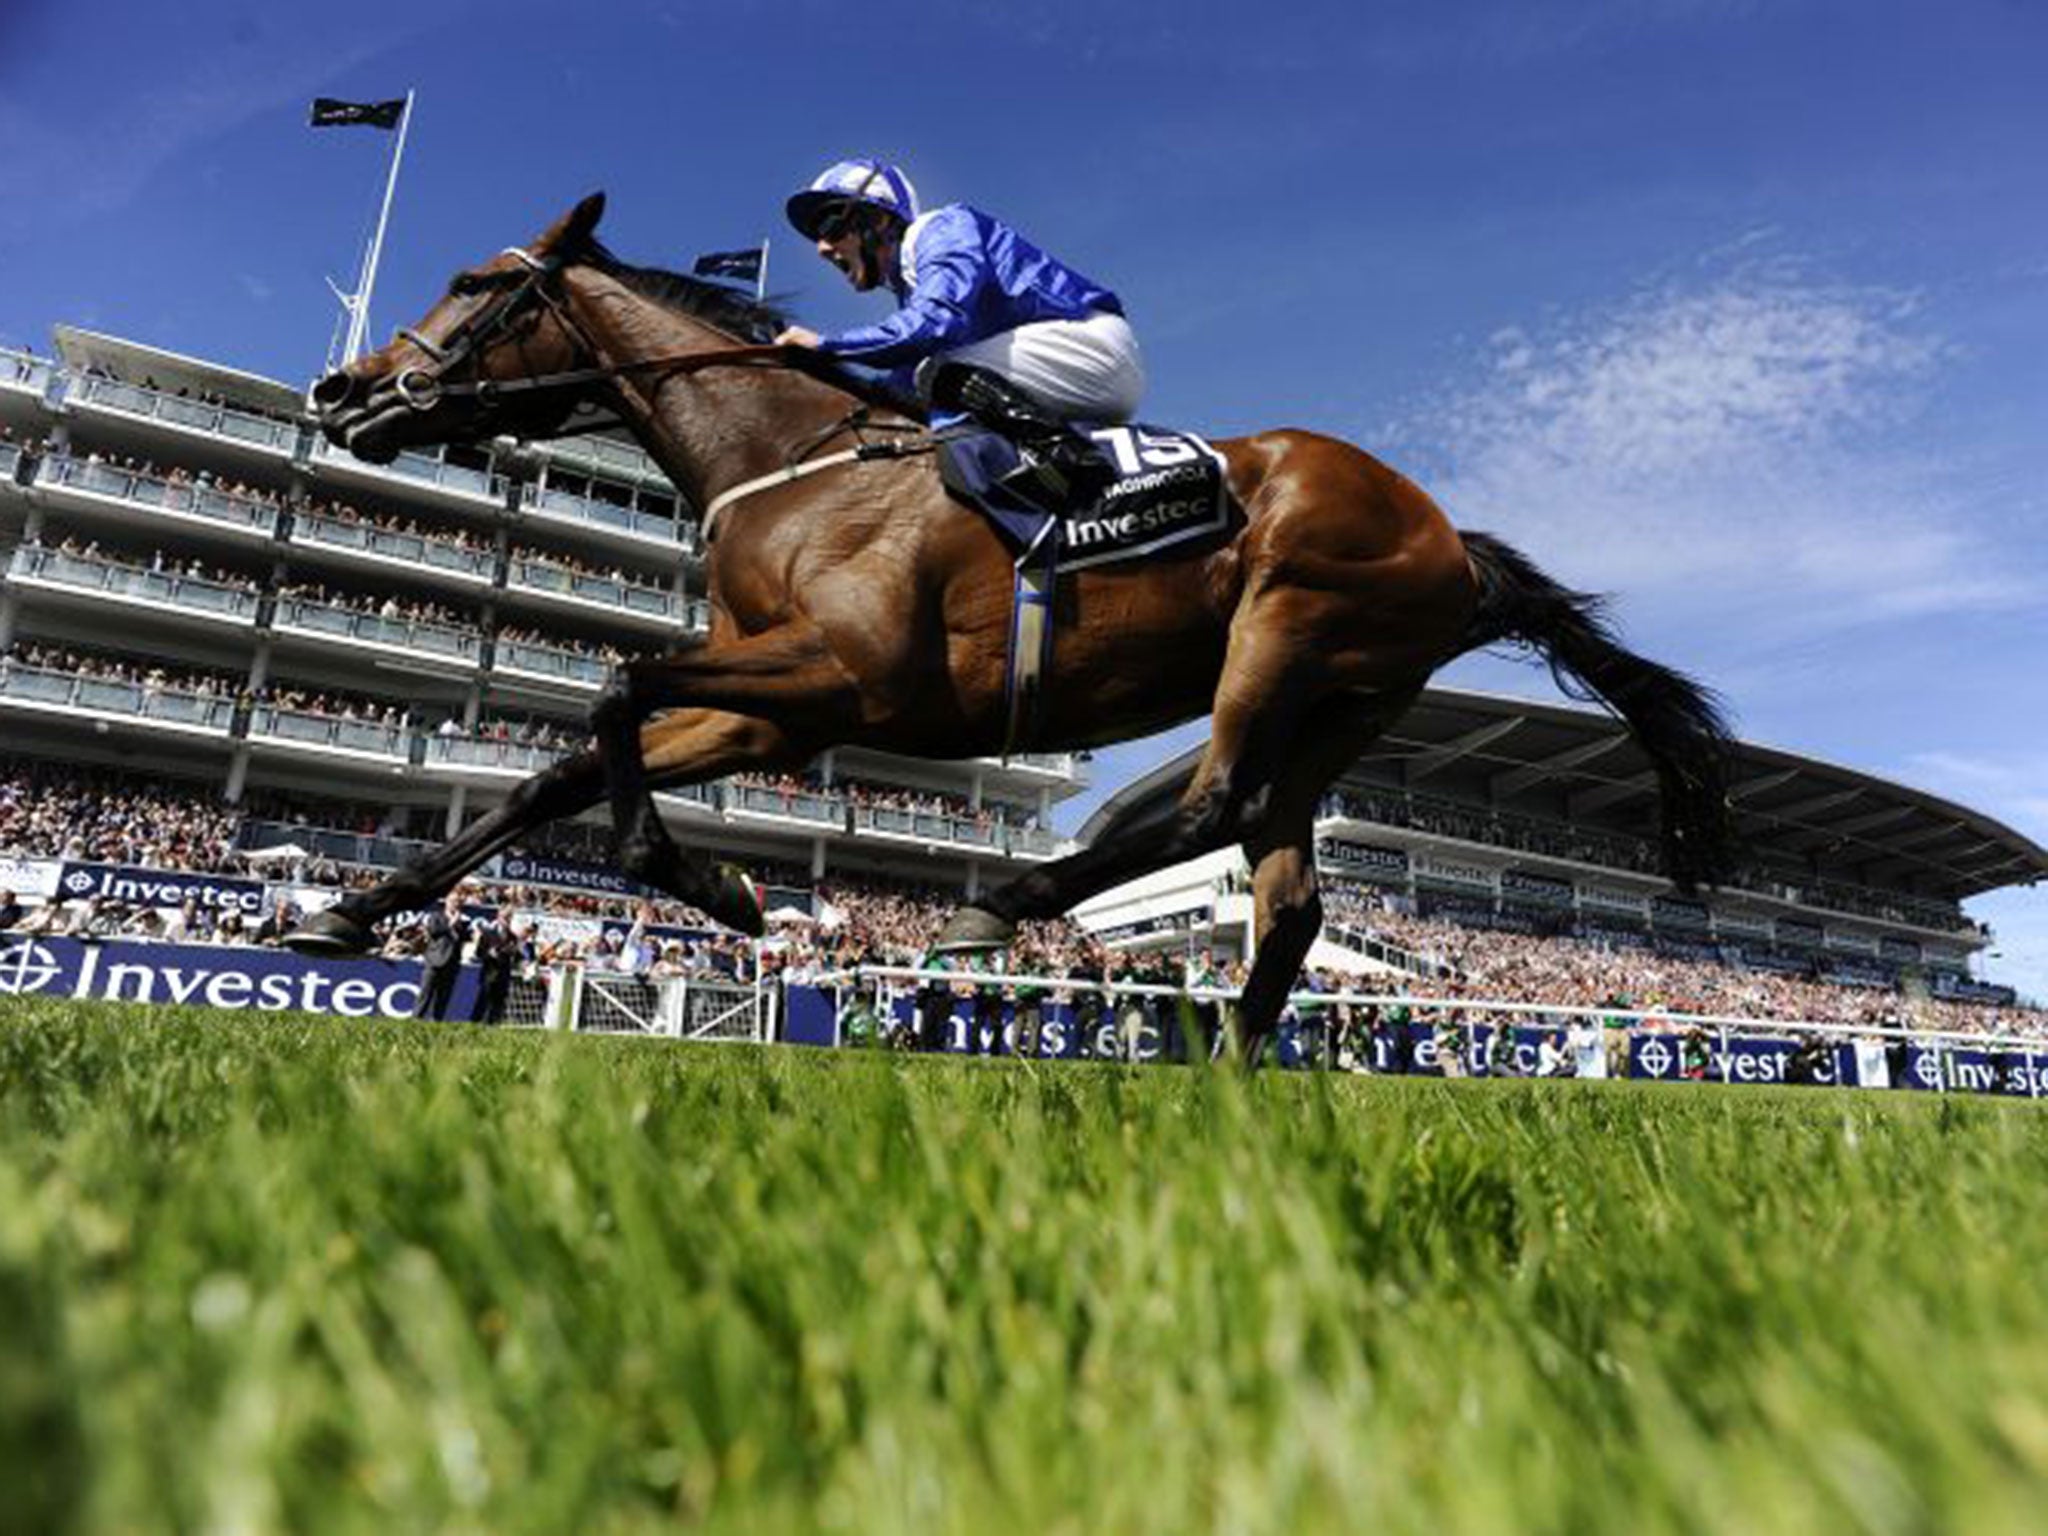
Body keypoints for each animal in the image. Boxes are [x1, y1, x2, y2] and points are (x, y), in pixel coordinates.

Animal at [292, 189, 1728, 1056]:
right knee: (1288, 892)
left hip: (1287, 626)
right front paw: (356, 911)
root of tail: (1449, 539)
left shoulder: (844, 675)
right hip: (1341, 706)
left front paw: (718, 884)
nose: (342, 390)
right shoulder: (770, 705)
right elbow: (565, 764)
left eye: (474, 282)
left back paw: (1009, 907)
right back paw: (1236, 1071)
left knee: (1208, 806)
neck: (794, 463)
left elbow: (614, 690)